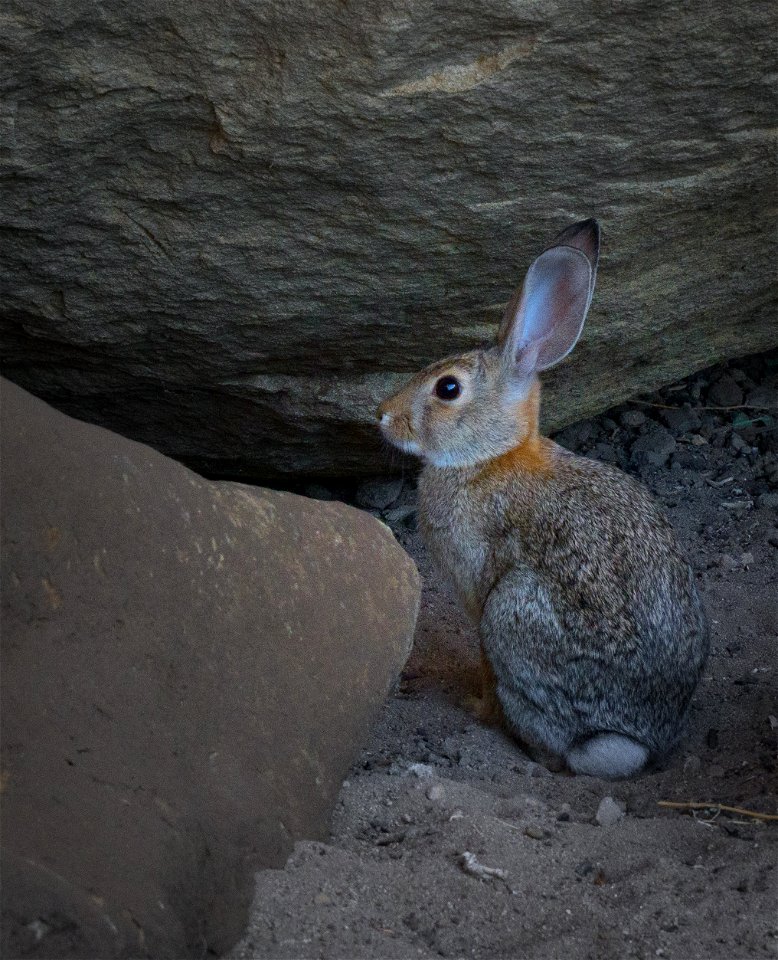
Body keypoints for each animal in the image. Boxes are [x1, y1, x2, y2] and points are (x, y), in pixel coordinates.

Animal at [376, 221, 708, 776]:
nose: (381, 415)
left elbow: (485, 666)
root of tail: (629, 740)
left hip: (513, 611)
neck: (488, 457)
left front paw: (477, 707)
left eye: (448, 389)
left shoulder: (479, 591)